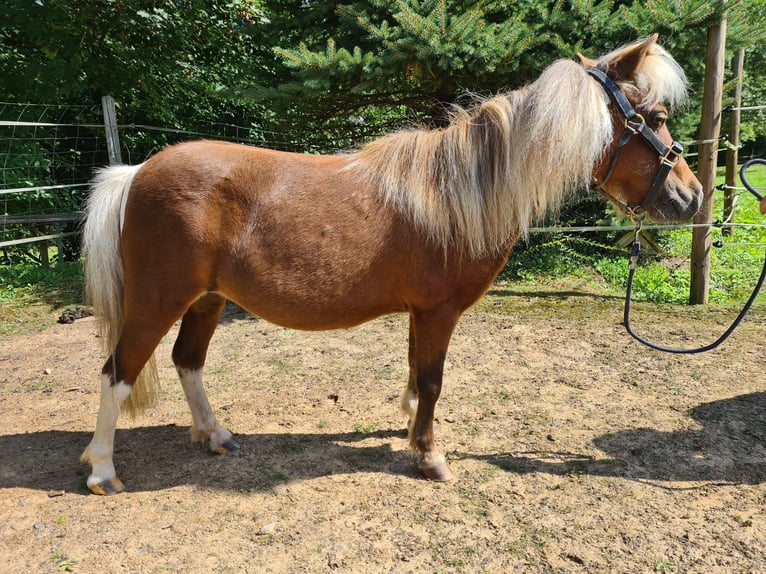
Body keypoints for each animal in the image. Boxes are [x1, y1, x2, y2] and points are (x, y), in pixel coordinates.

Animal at [80, 34, 703, 495]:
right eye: (654, 116)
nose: (691, 197)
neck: (459, 193)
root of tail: (136, 172)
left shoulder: (420, 313)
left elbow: (414, 372)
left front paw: (408, 427)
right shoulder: (439, 311)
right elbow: (431, 379)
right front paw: (429, 456)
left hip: (207, 300)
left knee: (188, 362)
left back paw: (216, 435)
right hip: (156, 301)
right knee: (116, 372)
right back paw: (103, 471)